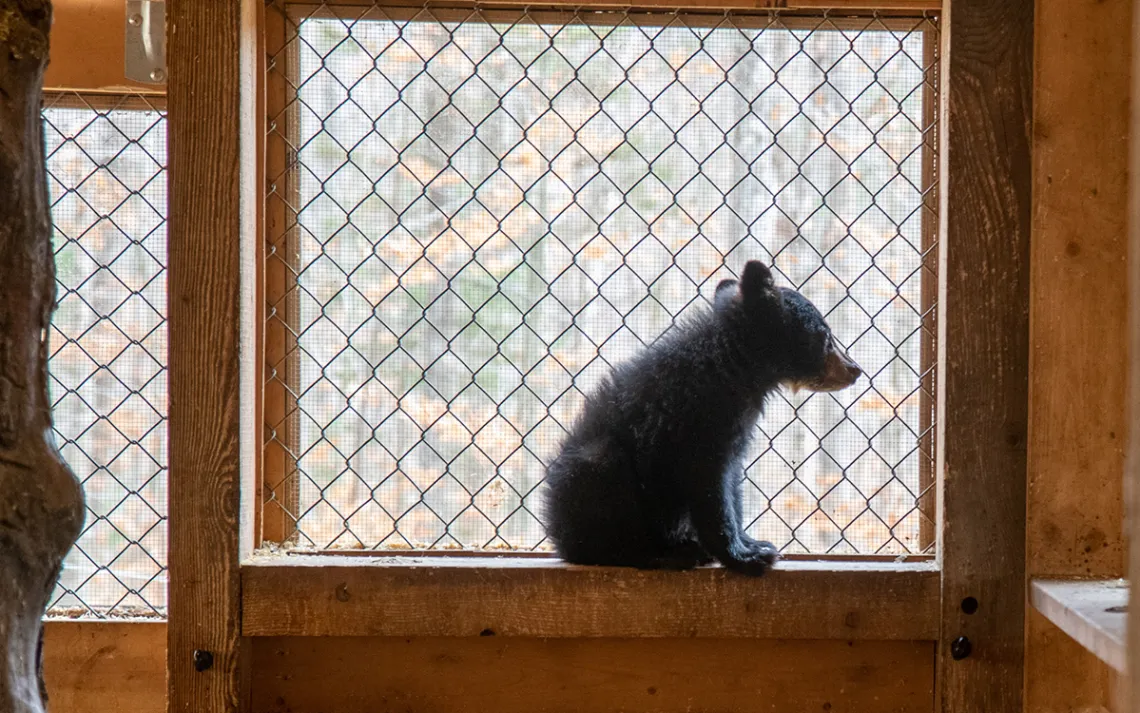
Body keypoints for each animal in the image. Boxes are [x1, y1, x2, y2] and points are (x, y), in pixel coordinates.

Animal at [542, 260, 862, 576]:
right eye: (824, 336)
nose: (855, 369)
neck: (733, 366)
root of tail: (556, 532)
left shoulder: (736, 427)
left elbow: (732, 483)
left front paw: (751, 543)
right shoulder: (699, 420)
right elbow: (710, 489)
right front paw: (745, 558)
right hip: (597, 471)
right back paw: (664, 554)